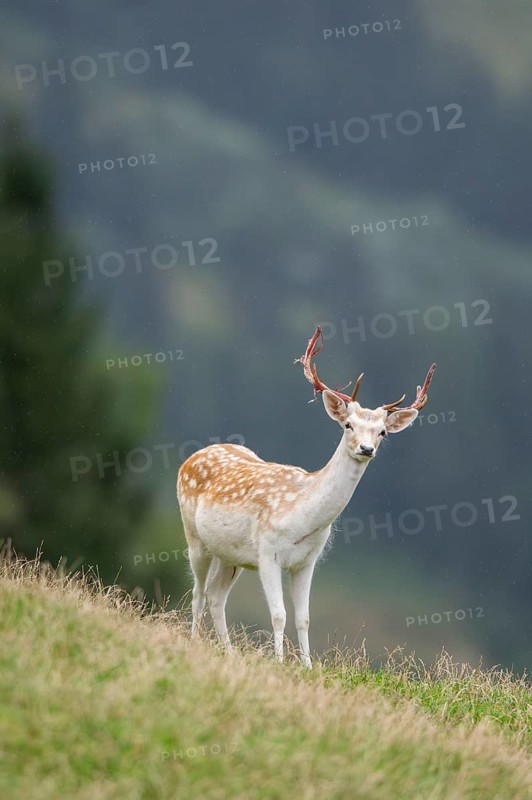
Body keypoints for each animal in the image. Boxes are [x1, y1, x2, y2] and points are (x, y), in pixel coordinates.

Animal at [177, 327, 436, 667]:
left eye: (382, 432)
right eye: (348, 424)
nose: (366, 449)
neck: (301, 515)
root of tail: (190, 458)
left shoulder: (307, 560)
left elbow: (303, 618)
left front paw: (308, 666)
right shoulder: (267, 552)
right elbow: (278, 615)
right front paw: (279, 662)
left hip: (229, 554)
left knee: (215, 595)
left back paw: (229, 651)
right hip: (194, 537)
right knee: (197, 592)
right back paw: (194, 641)